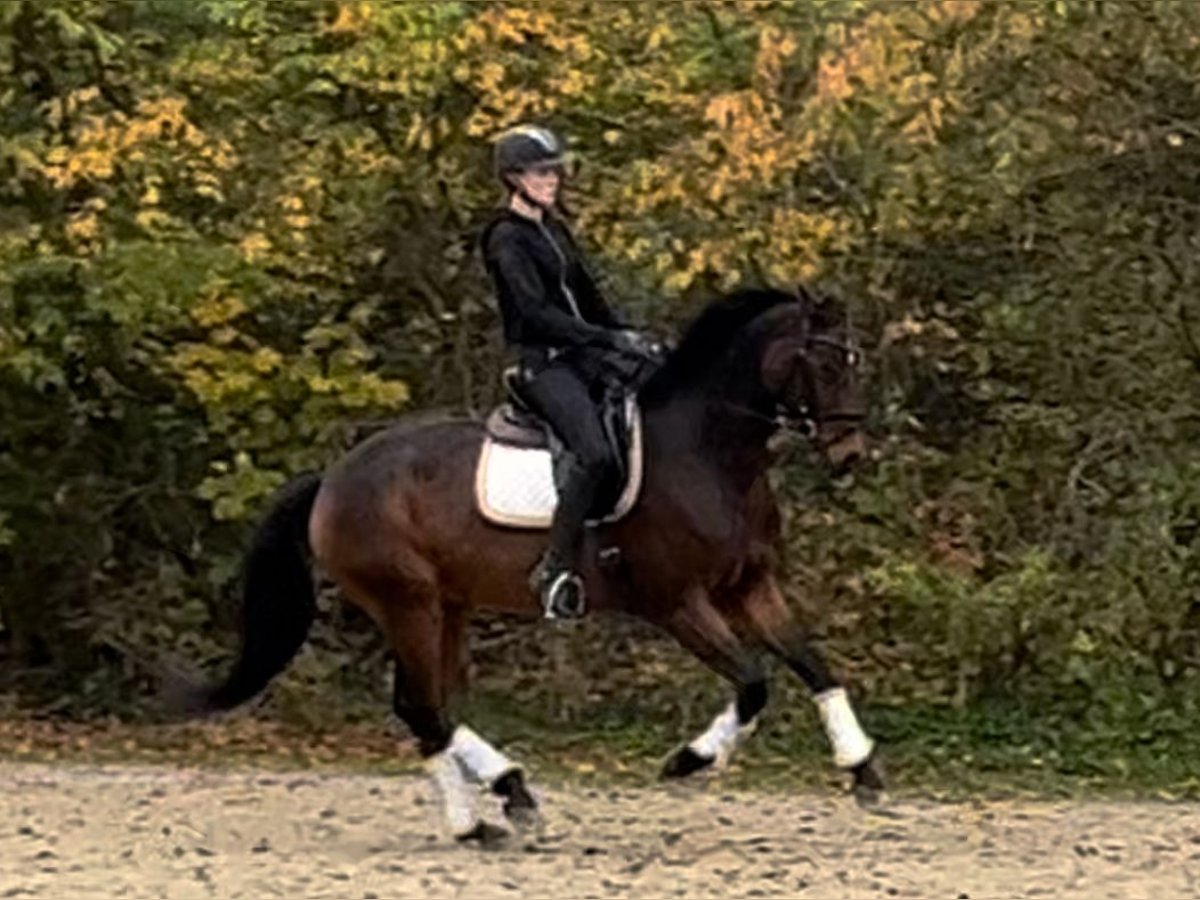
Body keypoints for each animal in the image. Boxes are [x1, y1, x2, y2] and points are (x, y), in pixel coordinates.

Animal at [187, 286, 883, 844]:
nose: (849, 453)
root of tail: (332, 477)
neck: (707, 454)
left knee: (429, 704)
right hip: (405, 602)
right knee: (423, 706)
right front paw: (690, 761)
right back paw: (478, 821)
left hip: (446, 605)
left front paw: (863, 770)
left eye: (856, 362)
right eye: (824, 363)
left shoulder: (752, 586)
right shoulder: (676, 603)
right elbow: (754, 682)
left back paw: (507, 798)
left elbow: (813, 665)